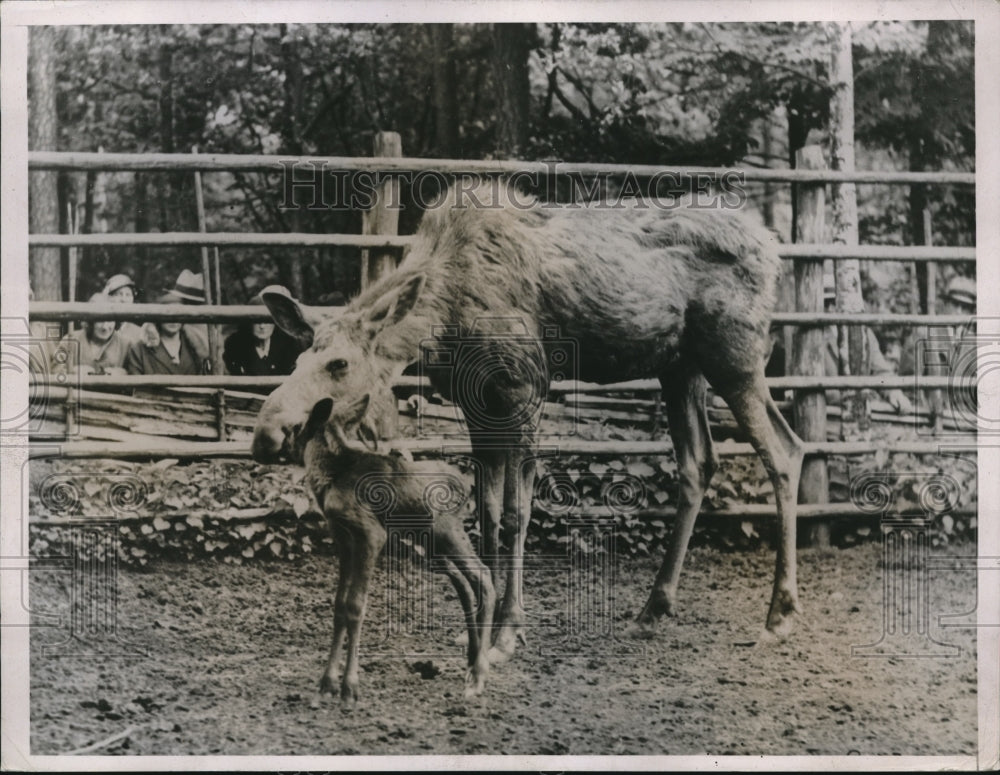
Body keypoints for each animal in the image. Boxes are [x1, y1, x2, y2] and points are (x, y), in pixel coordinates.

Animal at [256, 182, 804, 660]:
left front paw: (507, 630)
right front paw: (483, 621)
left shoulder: (525, 388)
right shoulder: (477, 404)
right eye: (298, 357)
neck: (444, 318)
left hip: (734, 356)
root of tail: (772, 247)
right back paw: (654, 608)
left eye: (339, 364)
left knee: (784, 449)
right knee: (701, 462)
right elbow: (489, 512)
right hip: (680, 367)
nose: (267, 432)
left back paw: (779, 614)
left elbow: (519, 513)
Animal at [300, 398, 496, 708]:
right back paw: (471, 660)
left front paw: (349, 687)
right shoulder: (343, 538)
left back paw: (478, 676)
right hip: (431, 545)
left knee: (483, 576)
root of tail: (468, 485)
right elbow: (339, 604)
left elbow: (355, 605)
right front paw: (326, 684)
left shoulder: (371, 535)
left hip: (447, 531)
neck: (329, 477)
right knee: (465, 584)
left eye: (300, 423)